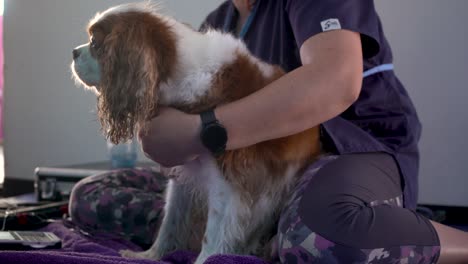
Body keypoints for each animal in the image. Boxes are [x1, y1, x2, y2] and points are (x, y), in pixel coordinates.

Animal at [72, 2, 322, 264]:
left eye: (94, 43)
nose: (73, 52)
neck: (177, 69)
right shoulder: (183, 172)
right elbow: (171, 220)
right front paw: (150, 255)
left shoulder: (228, 181)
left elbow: (213, 234)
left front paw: (206, 259)